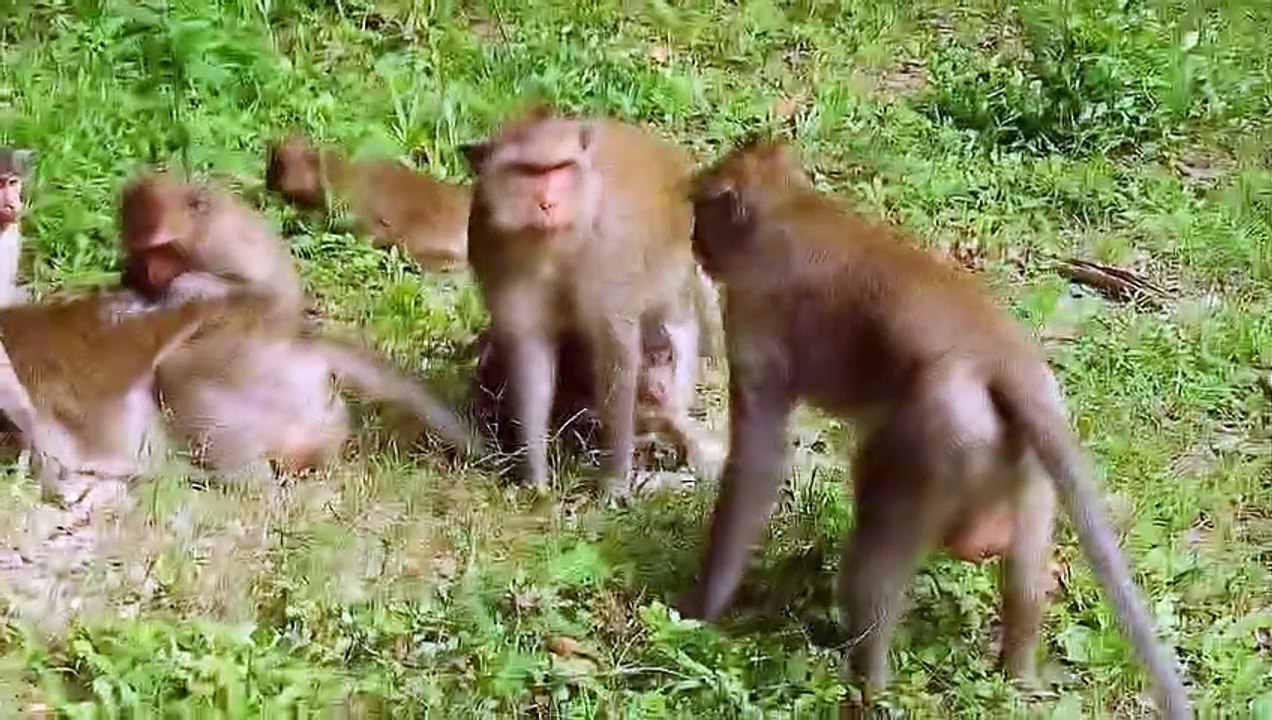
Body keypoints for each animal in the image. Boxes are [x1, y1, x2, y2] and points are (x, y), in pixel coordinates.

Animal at [461, 106, 702, 498]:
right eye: (527, 172)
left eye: (560, 168)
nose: (548, 204)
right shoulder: (492, 244)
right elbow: (530, 354)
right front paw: (535, 476)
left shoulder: (611, 252)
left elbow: (616, 353)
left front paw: (614, 481)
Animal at [678, 139, 1190, 718]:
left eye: (700, 209)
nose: (694, 241)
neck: (789, 205)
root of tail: (1002, 357)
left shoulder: (753, 314)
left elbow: (758, 461)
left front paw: (702, 608)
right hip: (1022, 451)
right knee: (1024, 570)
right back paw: (1016, 669)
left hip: (936, 438)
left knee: (872, 562)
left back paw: (867, 690)